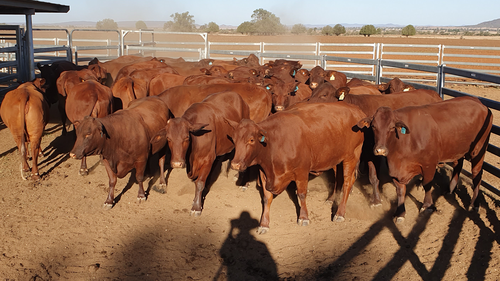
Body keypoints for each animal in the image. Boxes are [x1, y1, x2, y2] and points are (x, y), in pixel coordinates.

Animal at [229, 101, 366, 233]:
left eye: (251, 140)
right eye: (234, 140)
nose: (235, 164)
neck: (274, 144)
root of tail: (356, 110)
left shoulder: (302, 171)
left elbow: (301, 194)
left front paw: (304, 217)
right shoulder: (264, 173)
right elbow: (267, 198)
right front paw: (264, 224)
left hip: (352, 155)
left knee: (347, 182)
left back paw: (340, 213)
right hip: (335, 158)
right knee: (339, 178)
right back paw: (331, 199)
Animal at [356, 96, 492, 221]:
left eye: (392, 127)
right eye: (373, 126)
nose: (380, 150)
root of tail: (480, 104)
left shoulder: (429, 165)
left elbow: (427, 185)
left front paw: (427, 206)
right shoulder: (396, 170)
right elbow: (400, 190)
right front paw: (400, 212)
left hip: (478, 151)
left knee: (477, 175)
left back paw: (474, 204)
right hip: (457, 149)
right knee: (458, 165)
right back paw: (450, 190)